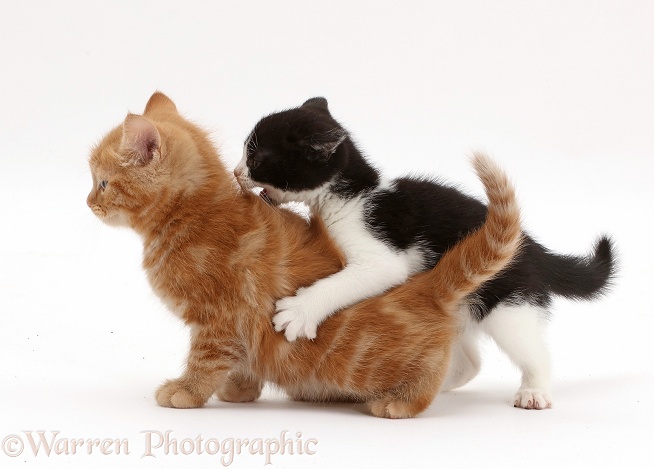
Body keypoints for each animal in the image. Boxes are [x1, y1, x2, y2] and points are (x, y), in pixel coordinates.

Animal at [234, 97, 616, 408]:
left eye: (254, 157)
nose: (237, 171)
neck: (352, 195)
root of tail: (532, 246)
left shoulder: (382, 258)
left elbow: (340, 283)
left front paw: (299, 311)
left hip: (508, 304)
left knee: (534, 351)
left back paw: (534, 391)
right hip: (459, 305)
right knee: (470, 362)